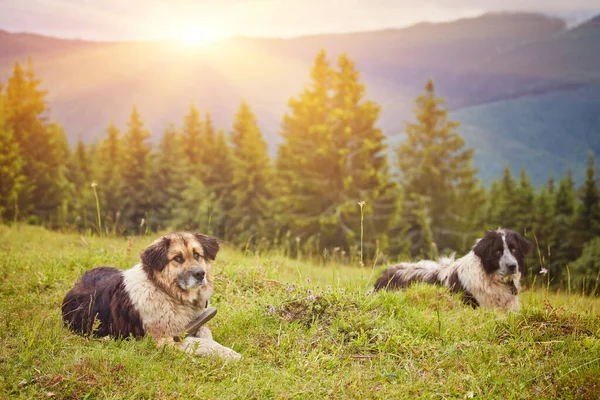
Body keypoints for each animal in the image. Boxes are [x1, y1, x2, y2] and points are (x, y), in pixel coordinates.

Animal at [61, 231, 239, 360]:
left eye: (197, 255)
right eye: (177, 258)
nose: (201, 274)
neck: (167, 293)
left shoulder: (198, 322)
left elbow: (206, 335)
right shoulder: (164, 339)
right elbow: (202, 343)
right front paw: (230, 354)